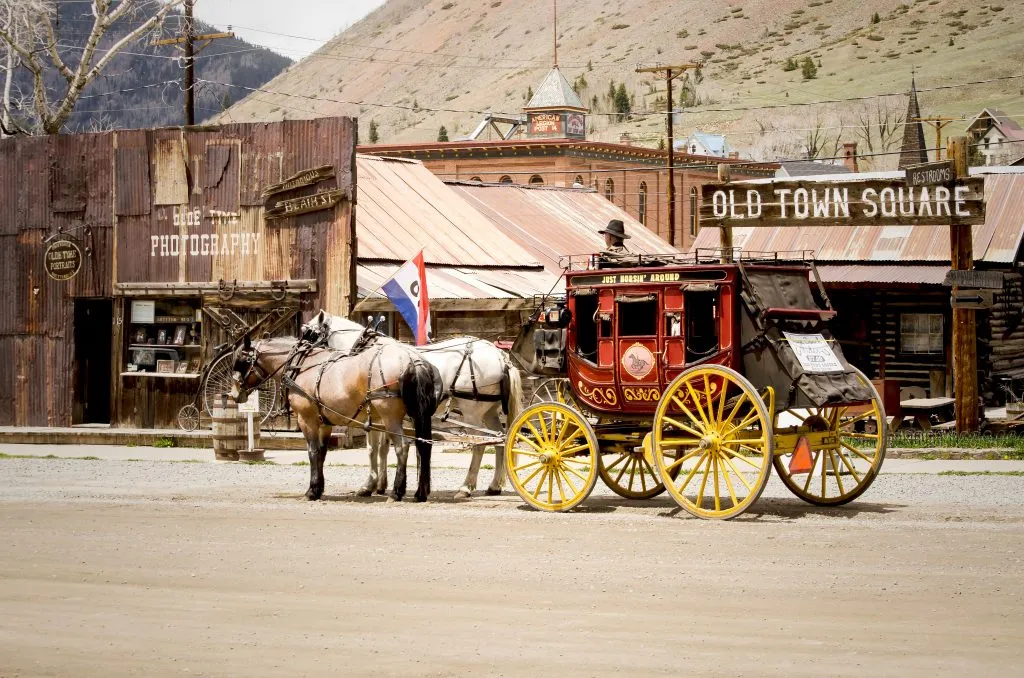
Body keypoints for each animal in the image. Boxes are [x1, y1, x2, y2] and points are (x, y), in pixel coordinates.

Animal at [232, 335, 440, 501]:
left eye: (241, 362)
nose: (233, 395)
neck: (302, 365)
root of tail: (412, 360)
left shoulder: (307, 420)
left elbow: (313, 452)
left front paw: (312, 490)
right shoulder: (325, 423)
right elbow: (322, 453)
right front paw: (319, 488)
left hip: (391, 417)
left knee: (402, 447)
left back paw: (397, 491)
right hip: (418, 415)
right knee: (423, 446)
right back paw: (420, 493)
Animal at [296, 311, 520, 499]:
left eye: (308, 333)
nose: (298, 353)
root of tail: (499, 356)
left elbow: (372, 449)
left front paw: (369, 485)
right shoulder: (381, 415)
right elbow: (382, 448)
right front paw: (380, 485)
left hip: (471, 412)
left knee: (479, 444)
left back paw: (466, 487)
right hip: (489, 412)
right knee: (500, 440)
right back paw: (494, 486)